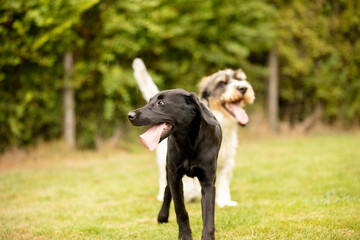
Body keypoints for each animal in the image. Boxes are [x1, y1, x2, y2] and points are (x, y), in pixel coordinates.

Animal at [128, 88, 221, 240]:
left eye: (160, 103)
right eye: (149, 101)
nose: (130, 115)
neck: (188, 144)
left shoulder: (207, 182)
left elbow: (208, 215)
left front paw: (208, 236)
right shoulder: (175, 177)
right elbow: (180, 210)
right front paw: (185, 235)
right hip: (168, 170)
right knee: (167, 190)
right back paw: (162, 216)